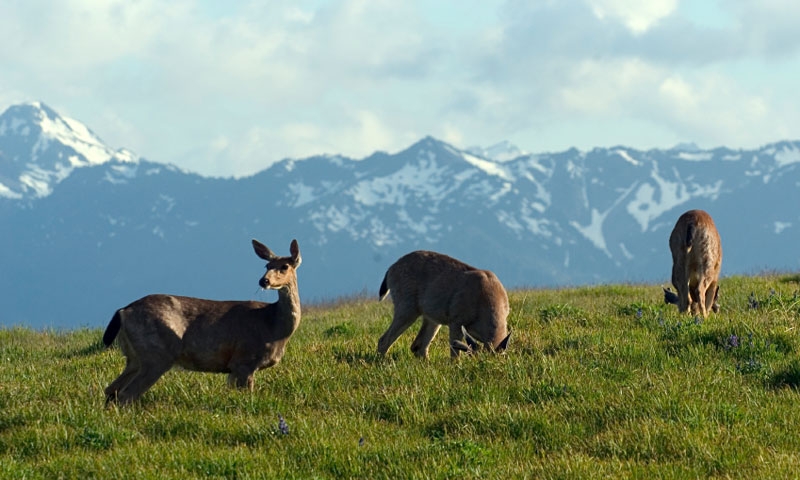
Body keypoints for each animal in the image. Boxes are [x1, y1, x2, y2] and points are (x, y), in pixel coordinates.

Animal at [102, 239, 302, 405]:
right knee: (126, 394)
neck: (273, 326)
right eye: (267, 265)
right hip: (156, 354)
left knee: (111, 390)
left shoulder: (233, 368)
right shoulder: (244, 360)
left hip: (135, 357)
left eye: (284, 266)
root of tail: (123, 311)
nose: (263, 280)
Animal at [377, 250, 511, 358]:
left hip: (432, 317)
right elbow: (454, 355)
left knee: (419, 346)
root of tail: (391, 269)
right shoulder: (456, 320)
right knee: (384, 340)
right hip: (407, 306)